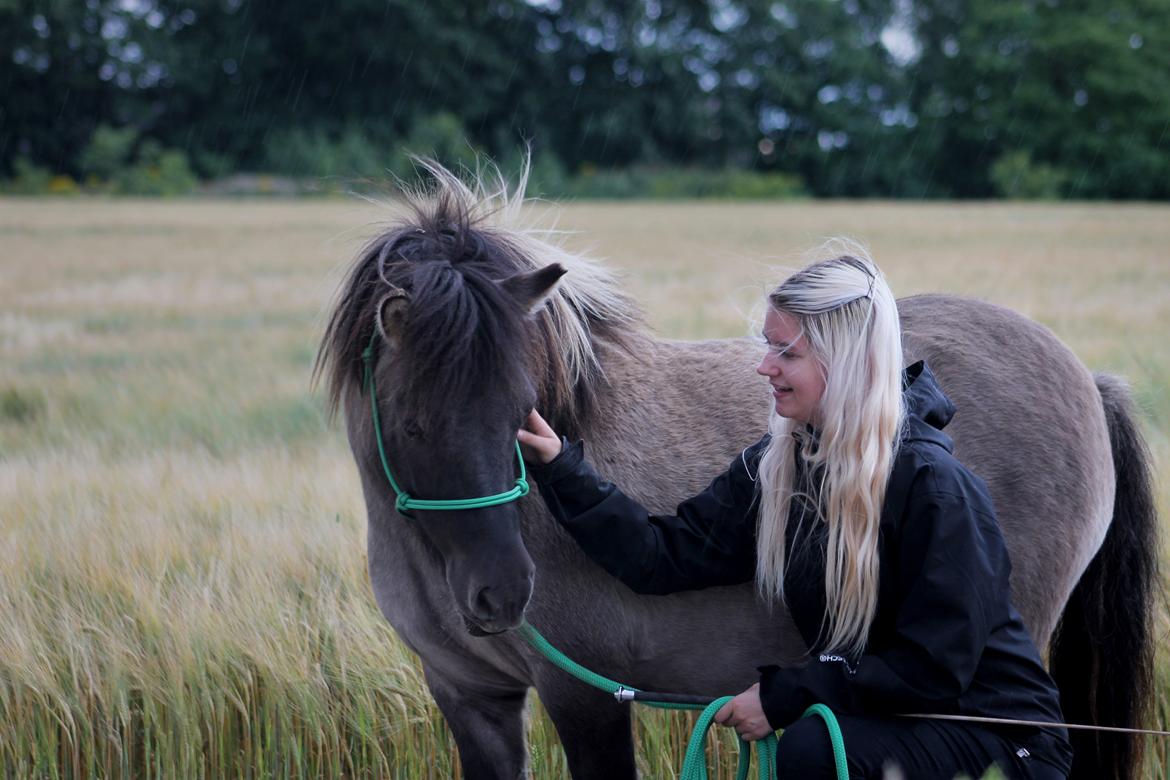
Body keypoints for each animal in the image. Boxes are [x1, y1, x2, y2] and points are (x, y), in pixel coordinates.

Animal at [313, 161, 1160, 776]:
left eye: (523, 412)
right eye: (416, 424)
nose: (501, 594)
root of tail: (1088, 379)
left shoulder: (585, 693)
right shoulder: (471, 696)